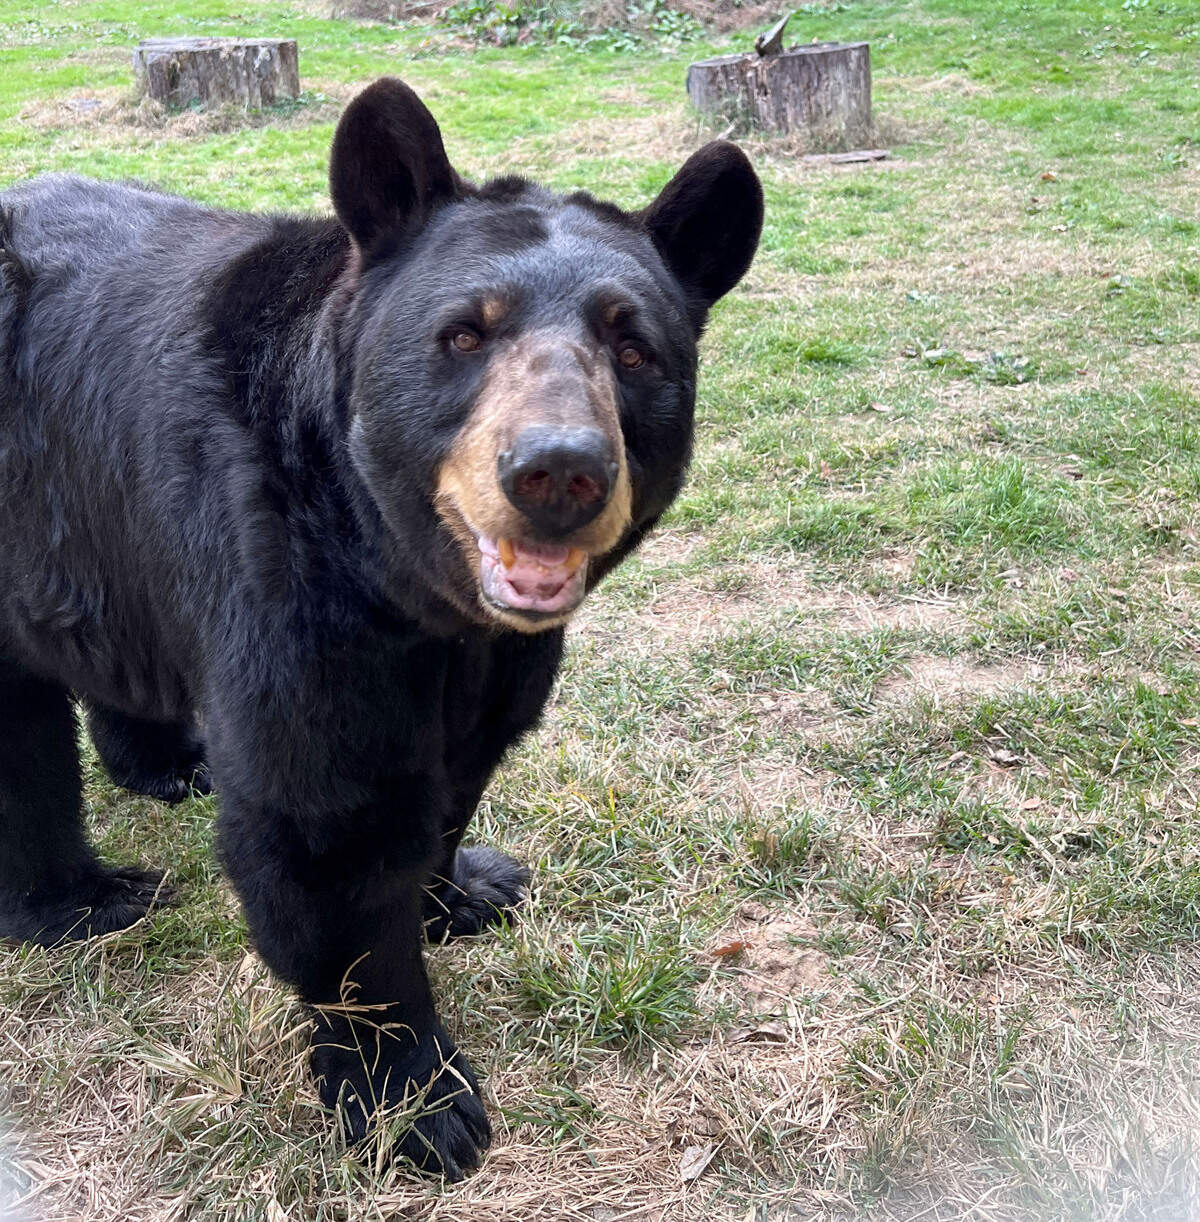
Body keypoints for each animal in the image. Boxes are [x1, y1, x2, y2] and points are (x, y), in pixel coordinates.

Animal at [0, 77, 762, 1179]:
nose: (559, 471)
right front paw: (417, 1102)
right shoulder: (284, 573)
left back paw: (168, 763)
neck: (413, 584)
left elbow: (465, 760)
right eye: (465, 334)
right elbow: (328, 823)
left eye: (634, 348)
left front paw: (466, 888)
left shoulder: (492, 653)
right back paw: (80, 899)